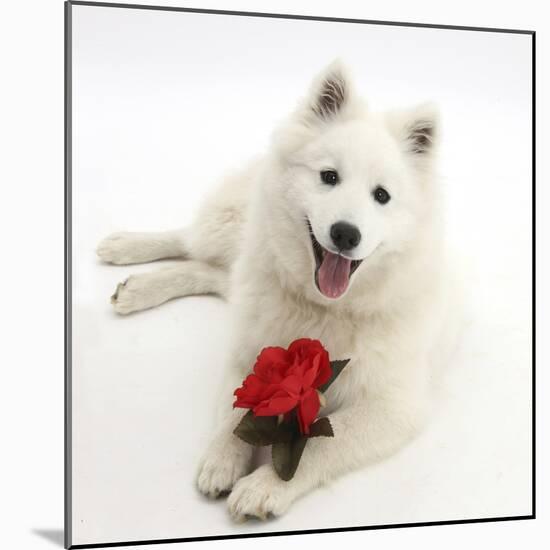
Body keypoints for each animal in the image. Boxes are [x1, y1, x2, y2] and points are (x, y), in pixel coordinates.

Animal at [97, 62, 460, 524]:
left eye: (382, 196)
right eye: (329, 177)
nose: (345, 233)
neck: (325, 308)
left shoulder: (393, 407)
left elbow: (325, 442)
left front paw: (263, 486)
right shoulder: (249, 351)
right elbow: (236, 416)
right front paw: (223, 459)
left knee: (207, 270)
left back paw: (137, 284)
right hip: (233, 229)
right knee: (189, 240)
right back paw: (126, 250)